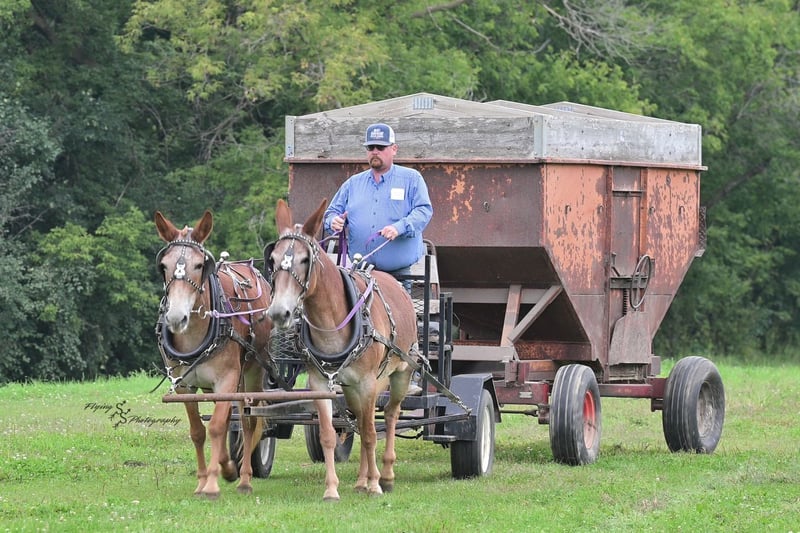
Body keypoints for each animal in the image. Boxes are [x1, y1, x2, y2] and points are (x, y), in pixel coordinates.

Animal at [154, 210, 272, 499]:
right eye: (164, 266)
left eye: (199, 265)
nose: (176, 318)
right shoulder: (184, 385)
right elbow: (198, 431)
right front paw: (204, 479)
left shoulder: (227, 378)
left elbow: (218, 426)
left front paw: (212, 483)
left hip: (253, 370)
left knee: (250, 420)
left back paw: (244, 478)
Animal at [265, 198, 419, 501]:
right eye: (273, 259)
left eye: (304, 260)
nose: (279, 312)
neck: (332, 325)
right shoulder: (320, 383)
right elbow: (328, 434)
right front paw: (332, 489)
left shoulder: (369, 383)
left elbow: (371, 434)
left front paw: (376, 484)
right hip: (350, 388)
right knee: (358, 419)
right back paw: (361, 480)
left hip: (399, 373)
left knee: (390, 415)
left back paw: (385, 475)